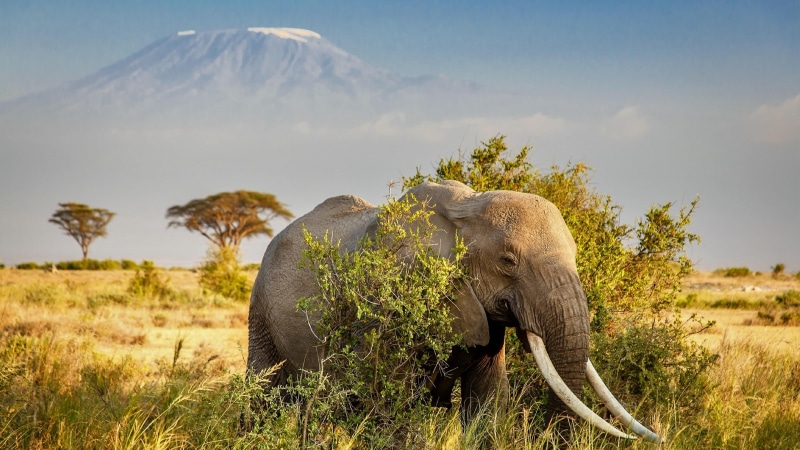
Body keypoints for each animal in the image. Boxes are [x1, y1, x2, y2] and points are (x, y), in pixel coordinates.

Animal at [247, 180, 661, 443]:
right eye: (508, 261)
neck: (466, 210)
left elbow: (488, 401)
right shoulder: (388, 298)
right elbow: (390, 403)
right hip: (260, 308)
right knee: (262, 392)